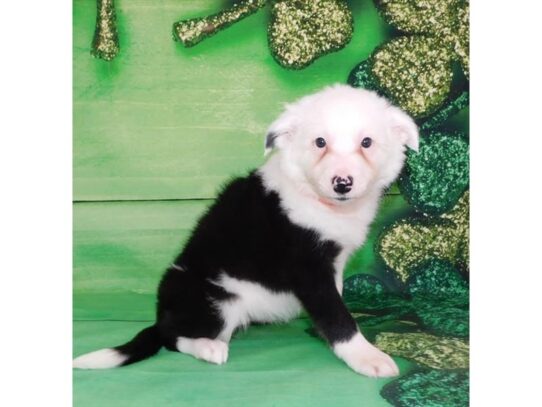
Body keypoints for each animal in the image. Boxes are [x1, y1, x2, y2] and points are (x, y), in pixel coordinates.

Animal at [73, 85, 420, 380]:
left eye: (367, 143)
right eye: (319, 142)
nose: (342, 183)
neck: (321, 203)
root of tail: (161, 314)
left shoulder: (333, 264)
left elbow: (337, 301)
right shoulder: (307, 268)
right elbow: (337, 316)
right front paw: (367, 357)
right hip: (214, 300)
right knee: (174, 337)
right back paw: (208, 347)